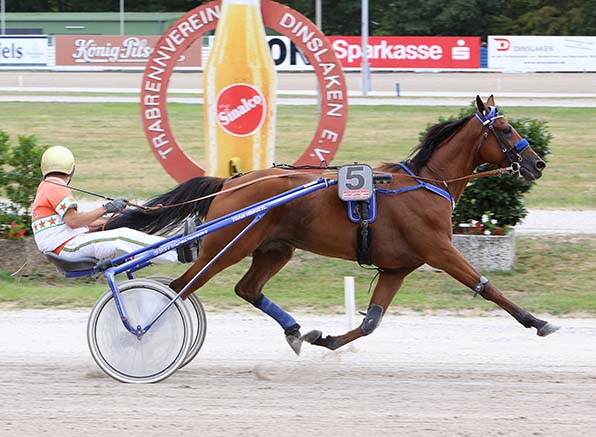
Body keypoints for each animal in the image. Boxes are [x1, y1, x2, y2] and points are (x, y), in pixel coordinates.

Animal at [107, 96, 560, 354]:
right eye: (505, 128)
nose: (537, 163)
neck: (427, 183)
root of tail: (232, 181)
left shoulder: (398, 267)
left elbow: (371, 321)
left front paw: (326, 340)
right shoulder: (440, 251)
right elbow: (487, 287)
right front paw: (538, 322)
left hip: (276, 248)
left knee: (246, 289)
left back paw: (295, 331)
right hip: (226, 246)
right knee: (179, 288)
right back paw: (142, 331)